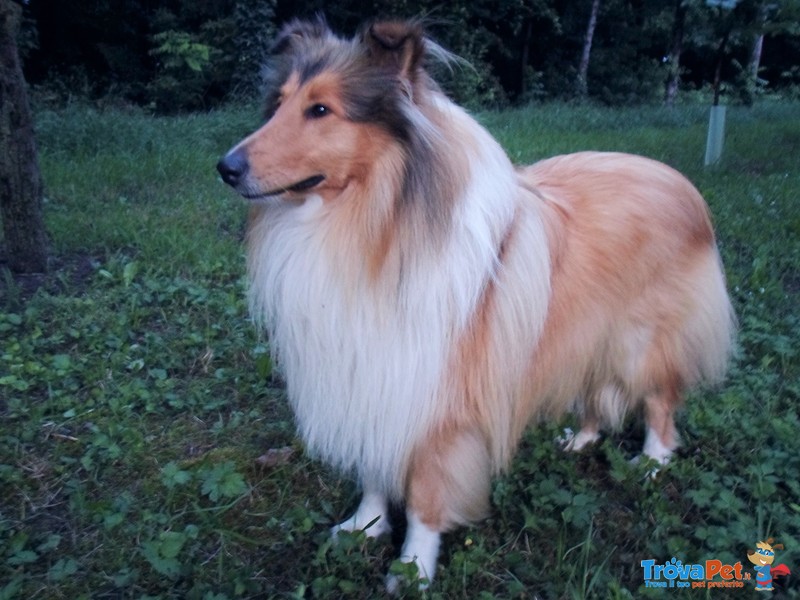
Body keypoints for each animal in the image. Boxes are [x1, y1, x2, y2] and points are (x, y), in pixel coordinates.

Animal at [216, 17, 736, 592]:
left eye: (321, 110)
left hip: (638, 340)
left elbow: (425, 497)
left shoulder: (437, 400)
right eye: (280, 102)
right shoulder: (376, 376)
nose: (225, 167)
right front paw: (363, 526)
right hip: (587, 335)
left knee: (661, 398)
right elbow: (375, 467)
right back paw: (579, 439)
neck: (372, 224)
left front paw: (413, 568)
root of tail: (681, 183)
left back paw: (653, 461)